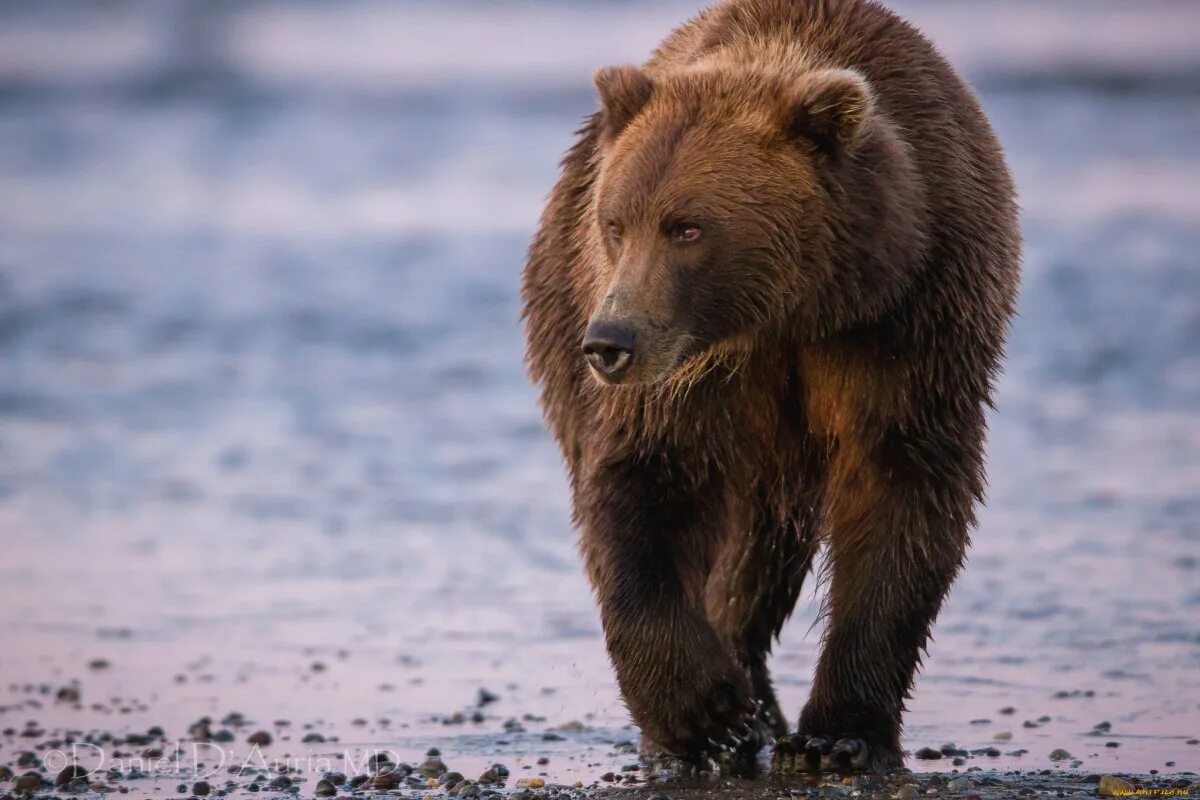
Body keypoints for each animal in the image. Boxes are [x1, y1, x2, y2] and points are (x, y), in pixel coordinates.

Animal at [520, 0, 1017, 777]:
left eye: (687, 227)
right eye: (616, 222)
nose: (609, 342)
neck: (792, 311)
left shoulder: (909, 324)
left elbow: (901, 495)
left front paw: (841, 734)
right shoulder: (686, 380)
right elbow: (643, 487)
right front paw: (698, 711)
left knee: (760, 554)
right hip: (562, 307)